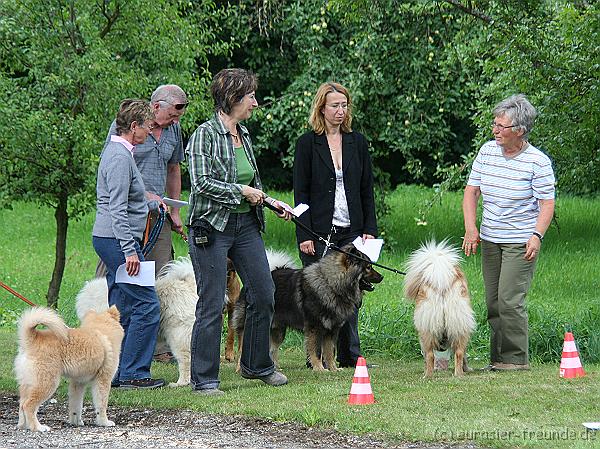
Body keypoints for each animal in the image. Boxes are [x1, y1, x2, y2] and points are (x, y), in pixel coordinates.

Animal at [232, 245, 382, 372]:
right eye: (368, 267)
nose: (382, 276)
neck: (331, 284)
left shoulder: (331, 330)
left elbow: (329, 352)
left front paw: (333, 369)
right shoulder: (315, 328)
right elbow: (316, 351)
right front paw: (320, 369)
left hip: (277, 330)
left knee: (272, 349)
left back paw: (275, 368)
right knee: (242, 349)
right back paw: (240, 369)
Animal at [406, 240, 476, 376]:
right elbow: (463, 355)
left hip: (426, 330)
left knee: (429, 355)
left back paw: (427, 375)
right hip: (459, 326)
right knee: (459, 352)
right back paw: (458, 374)